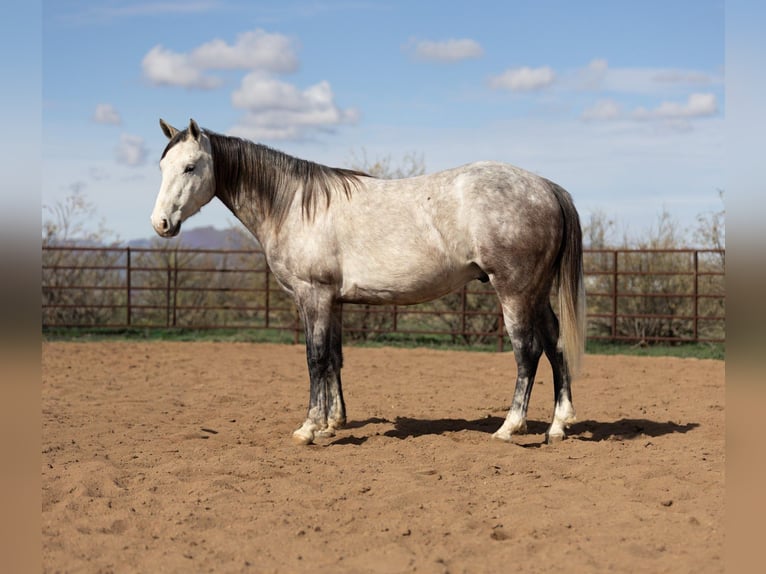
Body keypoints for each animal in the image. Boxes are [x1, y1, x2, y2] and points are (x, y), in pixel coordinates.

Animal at [151, 118, 586, 445]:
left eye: (190, 167)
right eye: (162, 167)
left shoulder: (313, 296)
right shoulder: (333, 301)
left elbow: (314, 358)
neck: (295, 205)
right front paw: (333, 422)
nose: (161, 224)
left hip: (514, 291)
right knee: (555, 344)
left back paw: (510, 428)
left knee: (527, 352)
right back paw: (558, 426)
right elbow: (334, 357)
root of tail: (546, 187)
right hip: (535, 292)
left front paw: (309, 428)